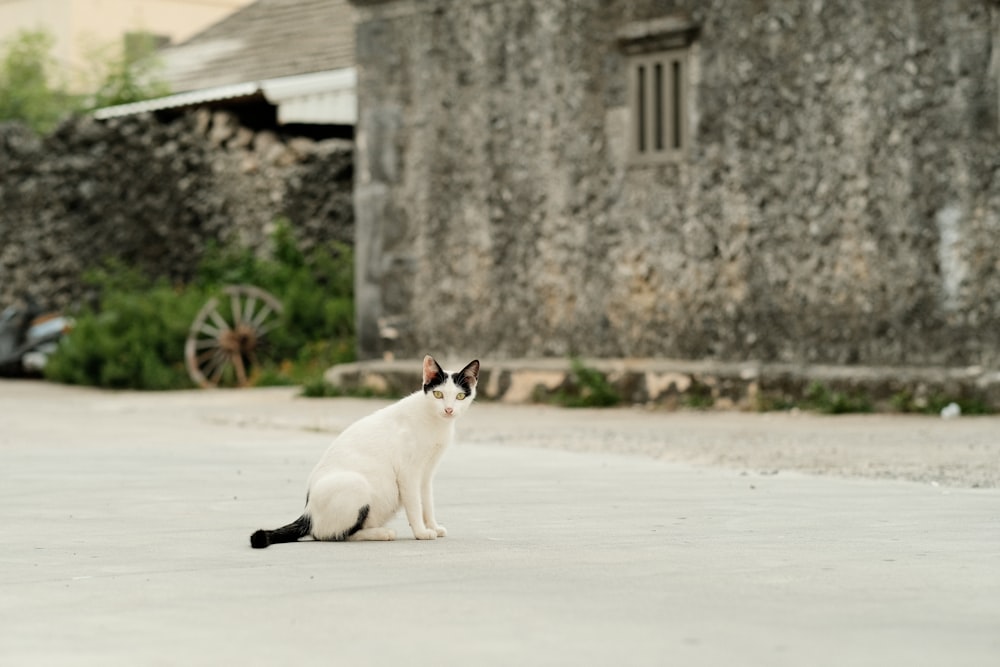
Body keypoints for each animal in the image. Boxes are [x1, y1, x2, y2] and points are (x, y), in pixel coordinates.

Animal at [252, 354, 482, 548]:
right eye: (438, 394)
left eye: (460, 397)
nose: (449, 410)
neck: (436, 424)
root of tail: (308, 513)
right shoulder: (408, 473)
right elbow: (415, 505)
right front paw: (421, 532)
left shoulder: (426, 474)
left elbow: (427, 502)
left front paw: (432, 526)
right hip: (357, 485)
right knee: (331, 535)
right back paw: (382, 533)